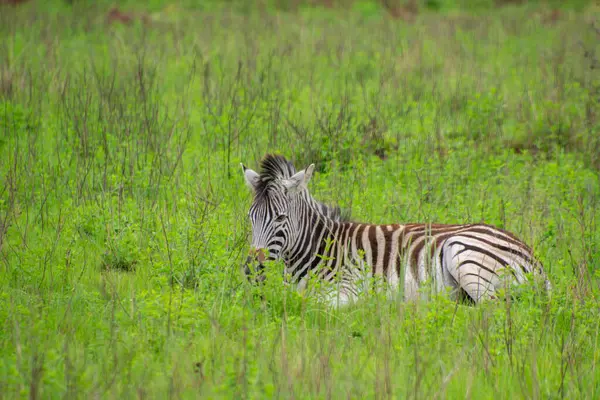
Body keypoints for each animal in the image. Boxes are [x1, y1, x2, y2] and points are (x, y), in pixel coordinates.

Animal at [241, 153, 552, 306]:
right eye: (250, 217)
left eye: (280, 218)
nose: (251, 268)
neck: (321, 249)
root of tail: (534, 259)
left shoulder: (350, 286)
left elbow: (311, 304)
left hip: (463, 252)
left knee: (491, 310)